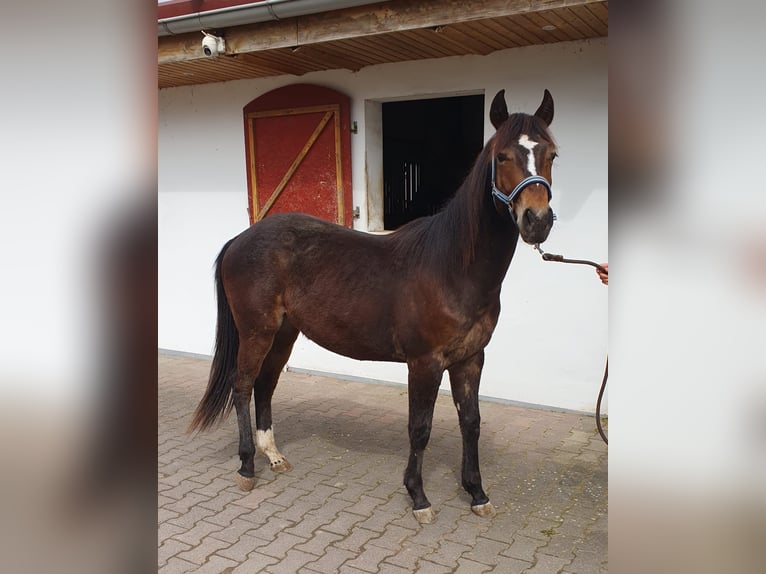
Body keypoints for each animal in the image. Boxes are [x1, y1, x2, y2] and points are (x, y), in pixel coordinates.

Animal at [189, 89, 557, 524]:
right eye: (502, 156)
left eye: (552, 154)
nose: (537, 220)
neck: (451, 266)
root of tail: (240, 239)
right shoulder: (424, 363)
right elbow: (420, 428)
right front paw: (419, 498)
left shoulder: (471, 359)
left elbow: (471, 423)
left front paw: (477, 493)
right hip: (256, 331)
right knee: (243, 385)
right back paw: (247, 466)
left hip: (284, 333)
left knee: (266, 384)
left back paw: (274, 456)